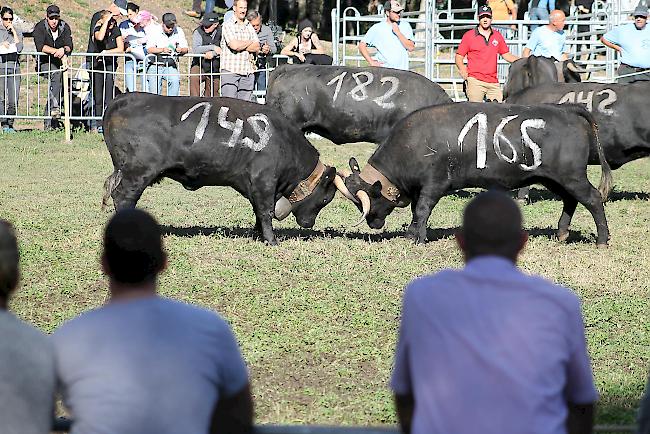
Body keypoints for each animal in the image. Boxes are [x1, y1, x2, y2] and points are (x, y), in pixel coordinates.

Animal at [101, 92, 344, 244]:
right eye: (325, 199)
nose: (308, 224)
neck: (285, 142)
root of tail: (123, 98)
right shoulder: (264, 181)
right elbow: (266, 212)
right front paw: (272, 240)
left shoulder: (253, 186)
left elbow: (258, 212)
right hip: (137, 173)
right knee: (123, 197)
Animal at [336, 101, 612, 244]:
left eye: (369, 201)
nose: (373, 223)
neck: (412, 143)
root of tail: (567, 110)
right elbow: (416, 211)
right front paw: (411, 234)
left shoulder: (433, 185)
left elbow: (422, 210)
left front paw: (417, 238)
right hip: (553, 179)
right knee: (570, 201)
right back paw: (562, 233)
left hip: (572, 176)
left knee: (593, 199)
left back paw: (602, 239)